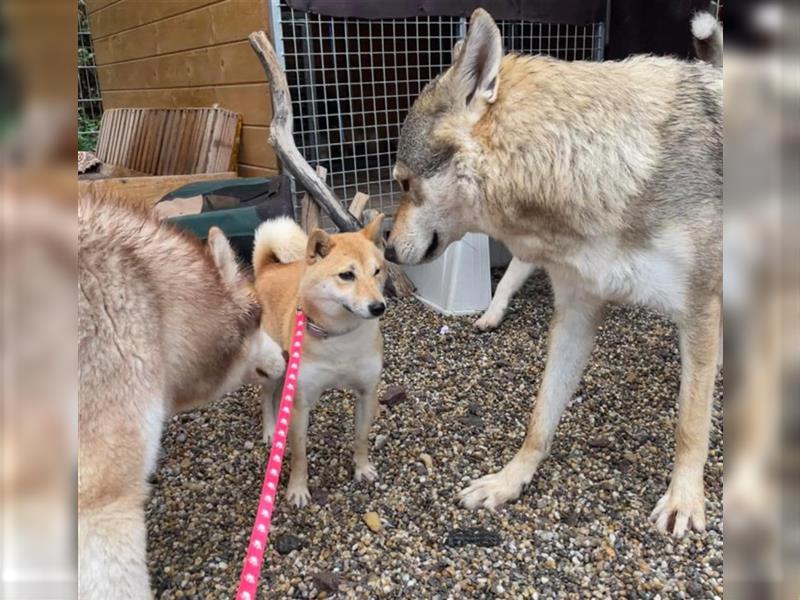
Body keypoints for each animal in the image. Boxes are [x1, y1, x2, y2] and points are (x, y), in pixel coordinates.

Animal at [252, 216, 386, 506]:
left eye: (377, 271)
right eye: (347, 275)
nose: (378, 307)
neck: (339, 338)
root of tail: (269, 268)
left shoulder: (366, 392)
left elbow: (361, 437)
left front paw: (362, 468)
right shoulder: (301, 402)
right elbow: (300, 454)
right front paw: (298, 489)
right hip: (276, 368)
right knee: (266, 397)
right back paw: (271, 430)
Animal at [384, 8, 720, 536]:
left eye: (402, 182)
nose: (388, 249)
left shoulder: (701, 311)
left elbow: (691, 423)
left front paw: (685, 499)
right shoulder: (576, 314)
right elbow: (540, 419)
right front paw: (509, 481)